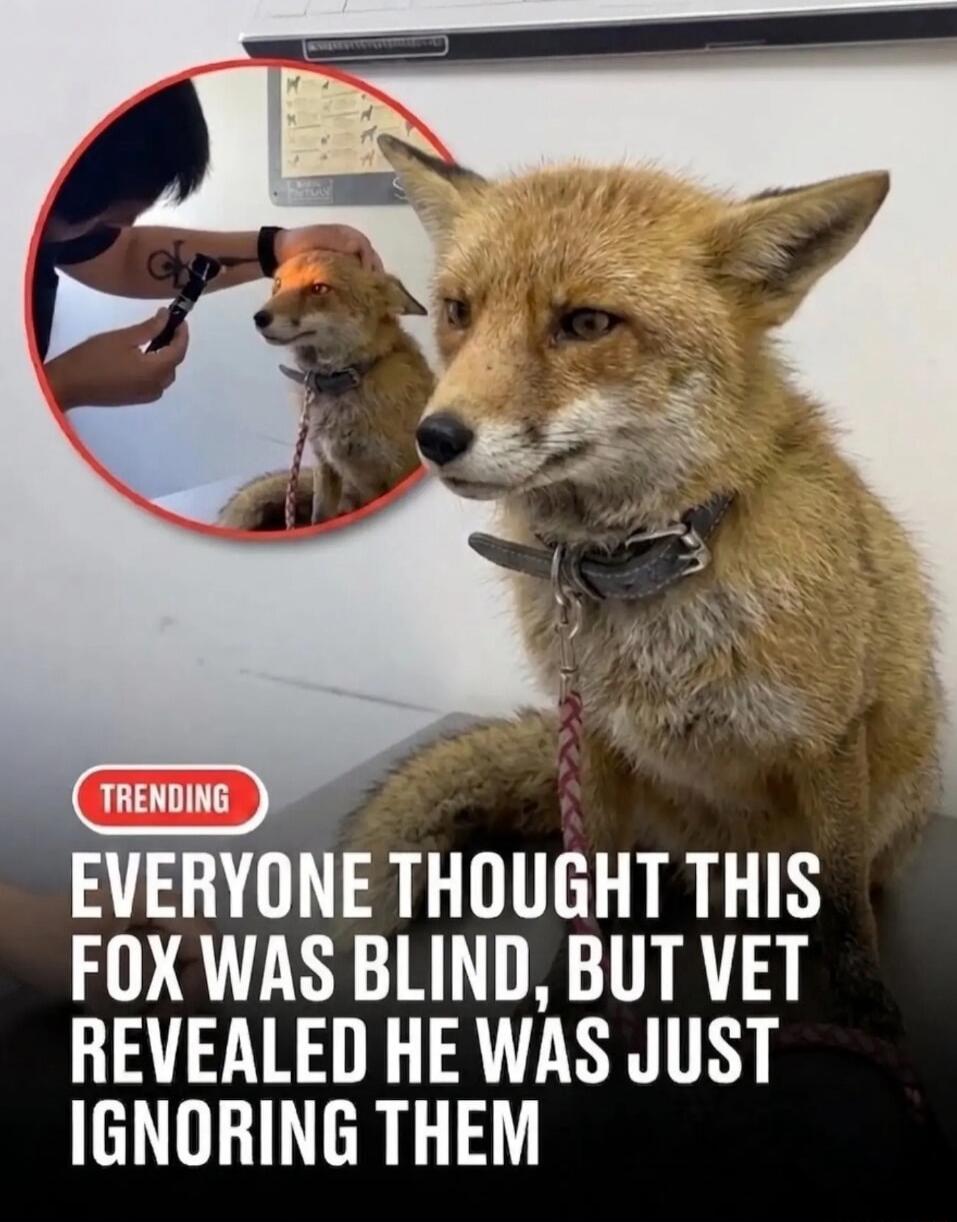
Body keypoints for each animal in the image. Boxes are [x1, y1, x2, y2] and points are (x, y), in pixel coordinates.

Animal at [217, 251, 433, 530]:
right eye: (278, 284)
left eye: (319, 288)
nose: (259, 317)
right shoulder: (325, 462)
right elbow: (318, 517)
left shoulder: (401, 468)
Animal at [335, 135, 942, 1035]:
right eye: (458, 311)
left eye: (585, 323)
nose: (433, 438)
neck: (640, 572)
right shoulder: (594, 740)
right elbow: (584, 895)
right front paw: (565, 1001)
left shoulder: (827, 742)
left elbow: (840, 909)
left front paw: (864, 1017)